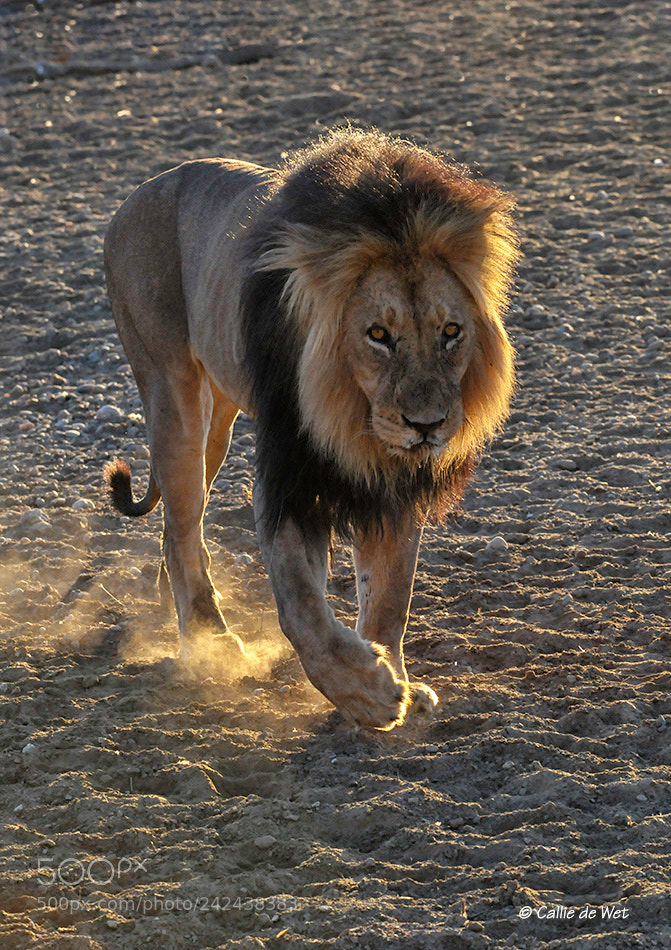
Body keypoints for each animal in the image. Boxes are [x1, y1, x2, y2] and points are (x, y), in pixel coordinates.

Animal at [103, 128, 518, 729]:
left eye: (451, 332)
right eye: (377, 334)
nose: (427, 425)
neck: (354, 421)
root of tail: (139, 193)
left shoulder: (394, 487)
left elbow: (390, 596)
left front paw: (399, 681)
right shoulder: (289, 477)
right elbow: (301, 608)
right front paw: (369, 694)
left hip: (218, 421)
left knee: (176, 530)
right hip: (171, 394)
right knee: (181, 529)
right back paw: (209, 639)